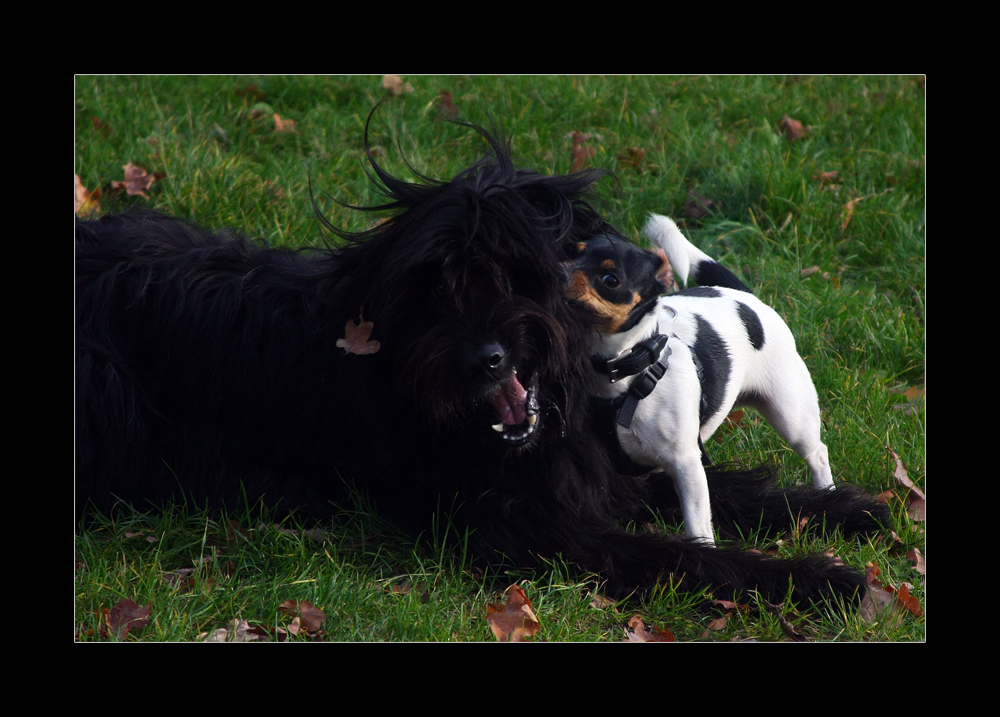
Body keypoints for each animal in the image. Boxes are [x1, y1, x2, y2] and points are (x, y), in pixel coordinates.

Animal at [572, 215, 836, 544]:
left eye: (610, 280)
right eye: (568, 255)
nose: (556, 274)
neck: (627, 373)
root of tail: (743, 295)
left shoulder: (687, 465)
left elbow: (697, 525)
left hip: (791, 415)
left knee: (817, 453)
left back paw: (828, 494)